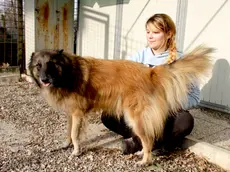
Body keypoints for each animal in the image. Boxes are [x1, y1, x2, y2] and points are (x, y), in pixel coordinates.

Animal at [28, 46, 214, 165]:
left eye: (51, 64)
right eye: (38, 66)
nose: (44, 79)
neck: (68, 71)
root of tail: (150, 72)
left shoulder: (78, 113)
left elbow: (74, 134)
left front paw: (76, 151)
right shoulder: (70, 113)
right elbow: (69, 132)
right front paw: (66, 145)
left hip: (135, 117)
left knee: (148, 139)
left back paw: (145, 161)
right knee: (148, 138)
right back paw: (141, 153)